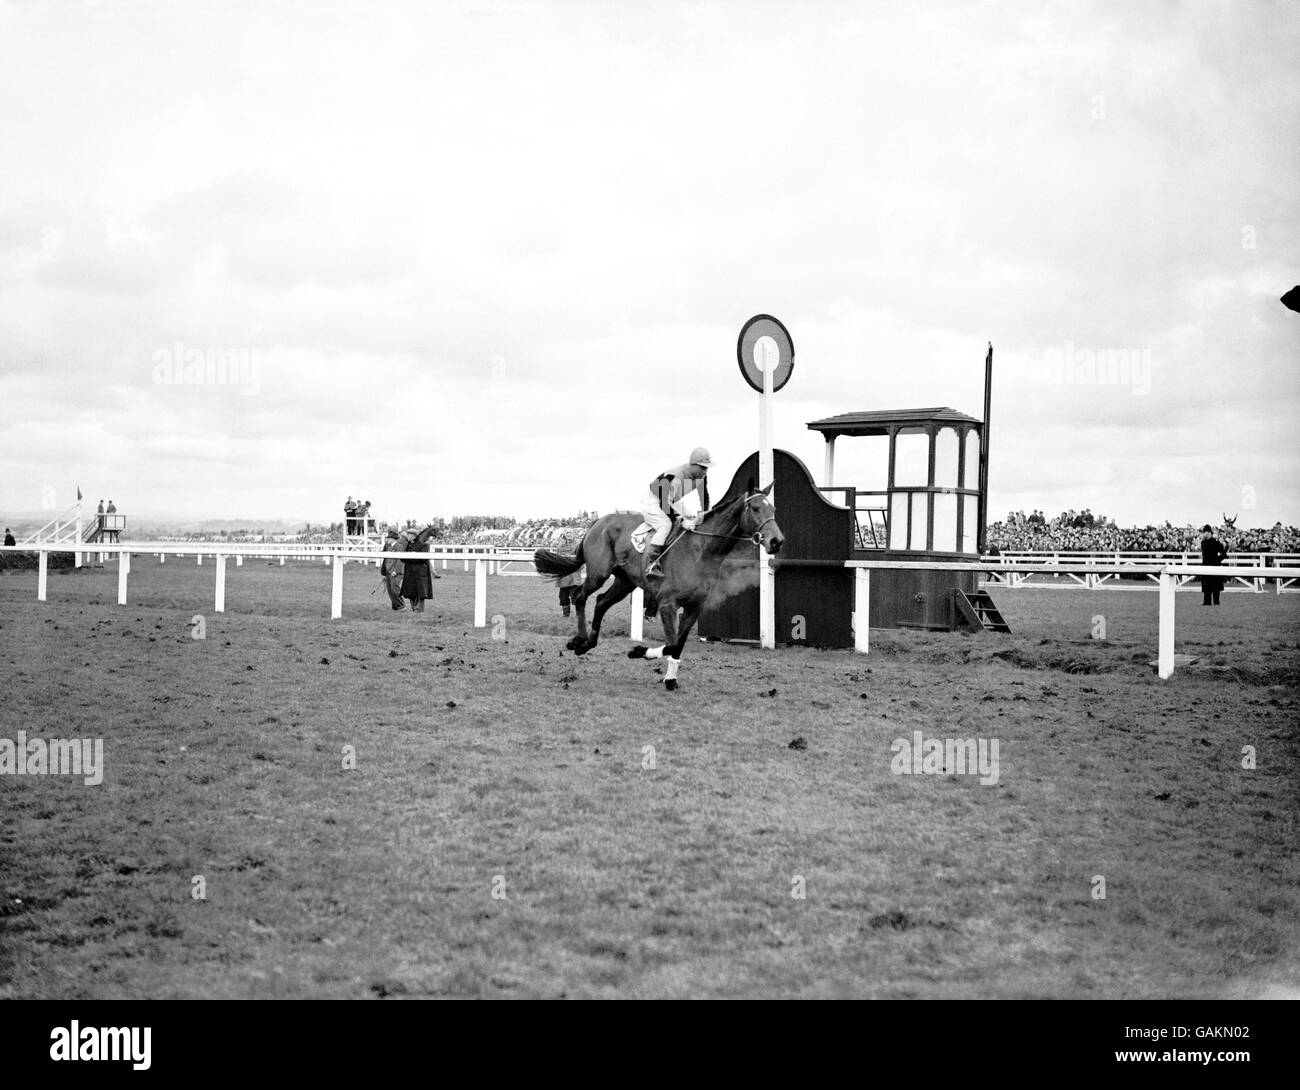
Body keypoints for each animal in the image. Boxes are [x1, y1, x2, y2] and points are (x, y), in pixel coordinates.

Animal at [530, 486, 780, 691]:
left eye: (773, 508)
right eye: (756, 508)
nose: (777, 541)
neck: (702, 550)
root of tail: (599, 521)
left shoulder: (694, 607)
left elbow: (678, 645)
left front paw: (670, 679)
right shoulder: (668, 604)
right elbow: (671, 644)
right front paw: (638, 651)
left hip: (625, 582)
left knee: (600, 602)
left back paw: (588, 643)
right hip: (598, 573)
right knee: (580, 596)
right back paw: (578, 640)